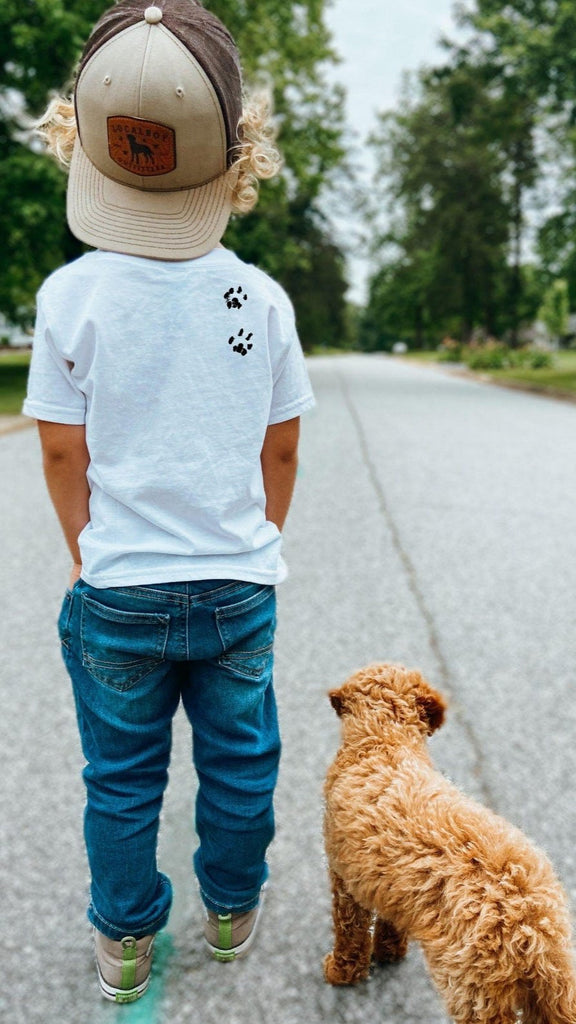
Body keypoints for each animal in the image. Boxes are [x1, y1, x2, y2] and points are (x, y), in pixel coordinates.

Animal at [323, 663, 573, 1024]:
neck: (384, 742)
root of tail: (529, 925)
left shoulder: (343, 879)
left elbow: (350, 935)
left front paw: (342, 972)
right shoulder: (385, 882)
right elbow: (390, 923)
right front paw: (390, 952)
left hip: (475, 994)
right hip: (554, 988)